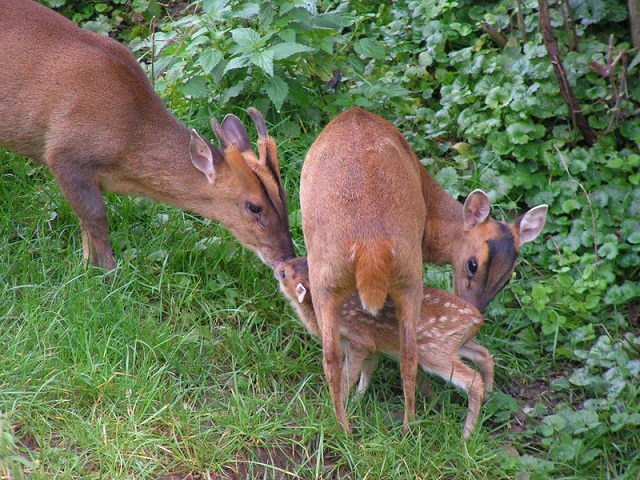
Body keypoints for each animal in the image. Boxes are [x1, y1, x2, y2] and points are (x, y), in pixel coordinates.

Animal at [0, 0, 296, 270]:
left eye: (285, 196)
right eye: (254, 207)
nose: (286, 257)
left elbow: (87, 227)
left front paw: (87, 268)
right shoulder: (65, 156)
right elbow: (96, 221)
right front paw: (106, 274)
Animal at [274, 258, 496, 438]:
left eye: (284, 273)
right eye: (298, 259)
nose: (277, 263)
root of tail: (476, 318)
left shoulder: (360, 339)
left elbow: (348, 374)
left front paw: (342, 402)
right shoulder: (374, 348)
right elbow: (368, 370)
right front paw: (356, 402)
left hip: (433, 350)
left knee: (472, 379)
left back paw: (466, 435)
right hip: (455, 343)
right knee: (484, 354)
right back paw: (488, 397)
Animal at [300, 107, 544, 434]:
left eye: (506, 280)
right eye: (472, 264)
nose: (477, 312)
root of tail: (370, 246)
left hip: (347, 272)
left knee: (376, 355)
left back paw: (381, 428)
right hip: (378, 274)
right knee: (363, 355)